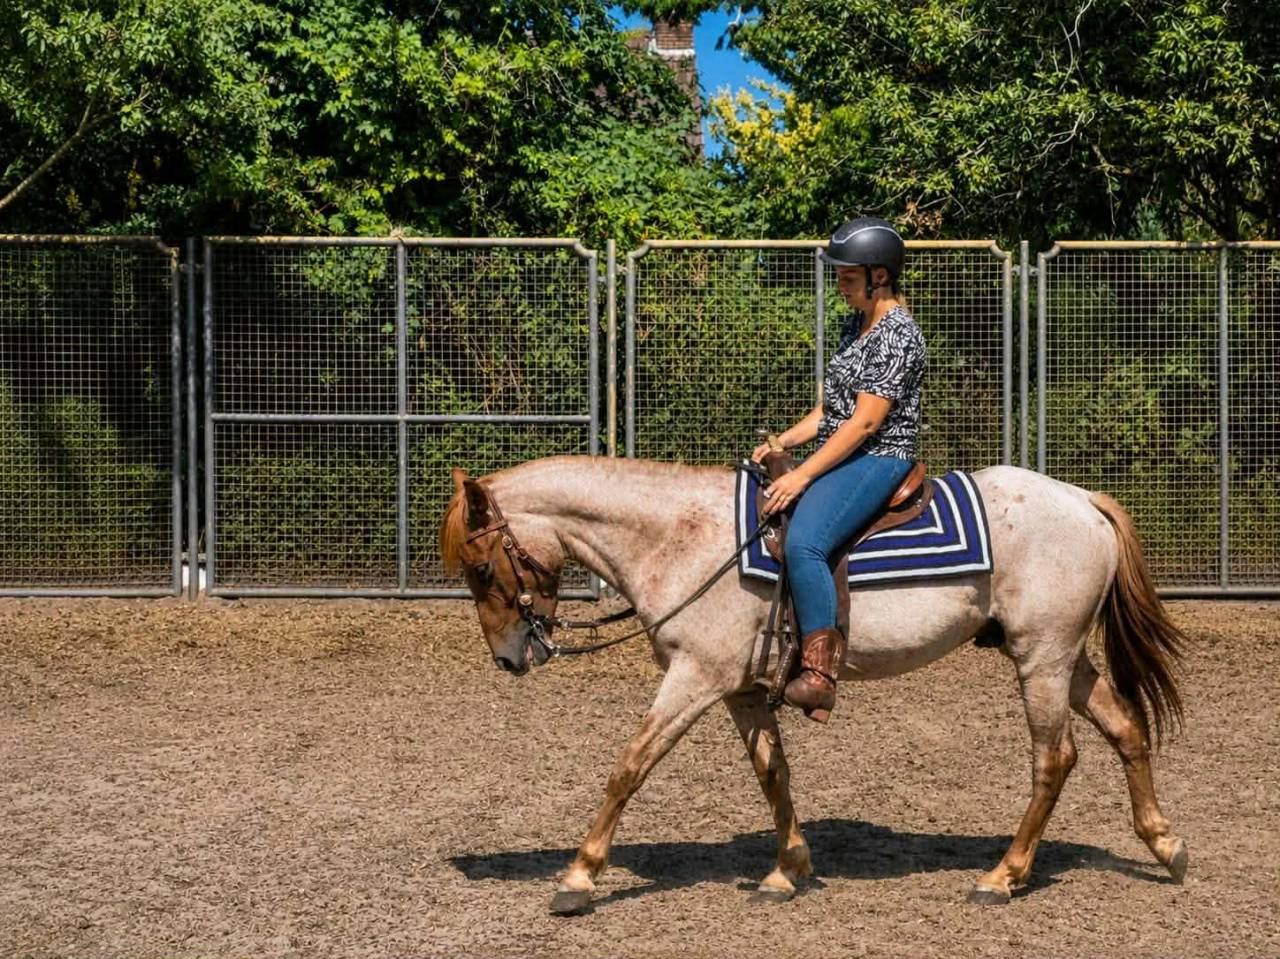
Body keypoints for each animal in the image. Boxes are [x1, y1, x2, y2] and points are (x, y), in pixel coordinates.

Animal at [439, 455, 1187, 913]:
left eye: (480, 568)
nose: (509, 657)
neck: (684, 541)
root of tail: (1084, 501)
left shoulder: (694, 678)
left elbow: (630, 766)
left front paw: (577, 876)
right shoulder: (740, 689)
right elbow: (774, 774)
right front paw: (788, 868)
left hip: (1043, 661)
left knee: (1053, 759)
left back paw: (1002, 876)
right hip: (1065, 660)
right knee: (1127, 728)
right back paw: (1165, 845)